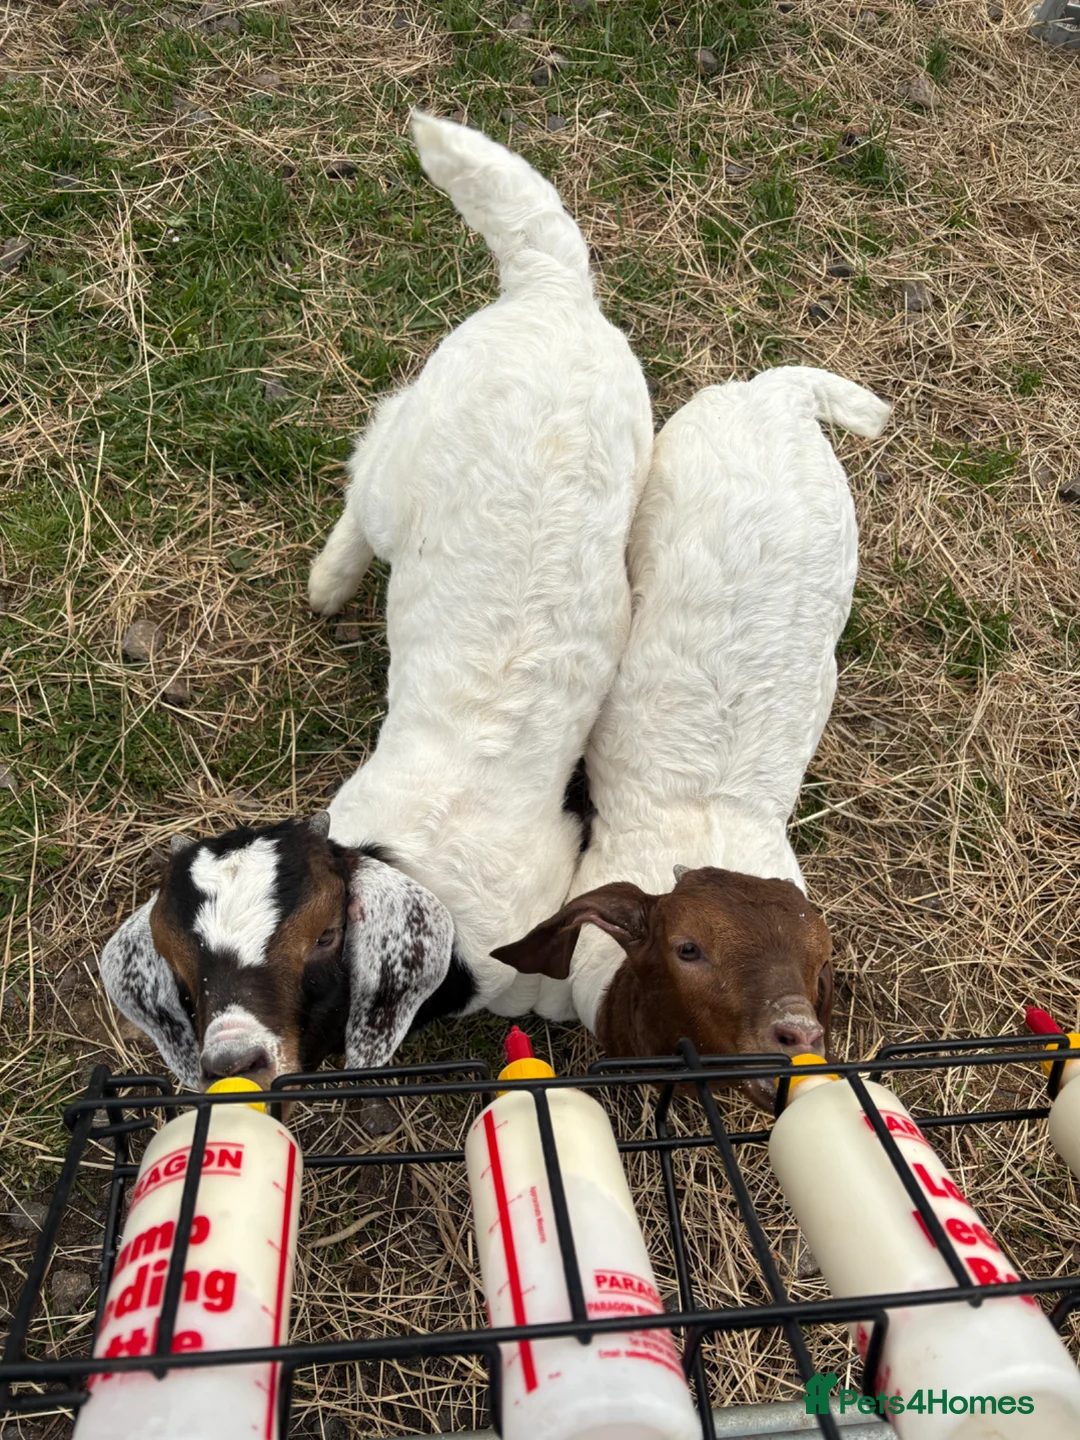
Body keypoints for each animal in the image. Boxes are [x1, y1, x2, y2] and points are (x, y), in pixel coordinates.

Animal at [99, 112, 652, 1090]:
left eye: (324, 939)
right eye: (183, 969)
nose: (237, 1056)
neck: (419, 856)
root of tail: (551, 293)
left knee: (370, 469)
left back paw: (328, 583)